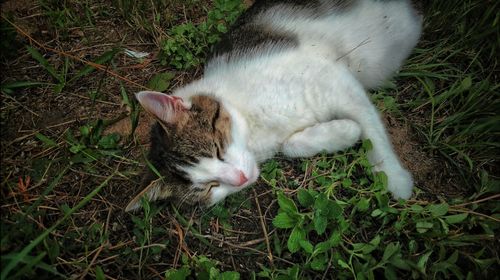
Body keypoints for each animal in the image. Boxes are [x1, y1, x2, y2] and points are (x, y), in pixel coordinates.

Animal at [125, 0, 422, 211]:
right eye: (210, 187)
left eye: (218, 149)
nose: (240, 179)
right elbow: (292, 145)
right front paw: (344, 131)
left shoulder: (337, 82)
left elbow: (372, 129)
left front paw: (394, 178)